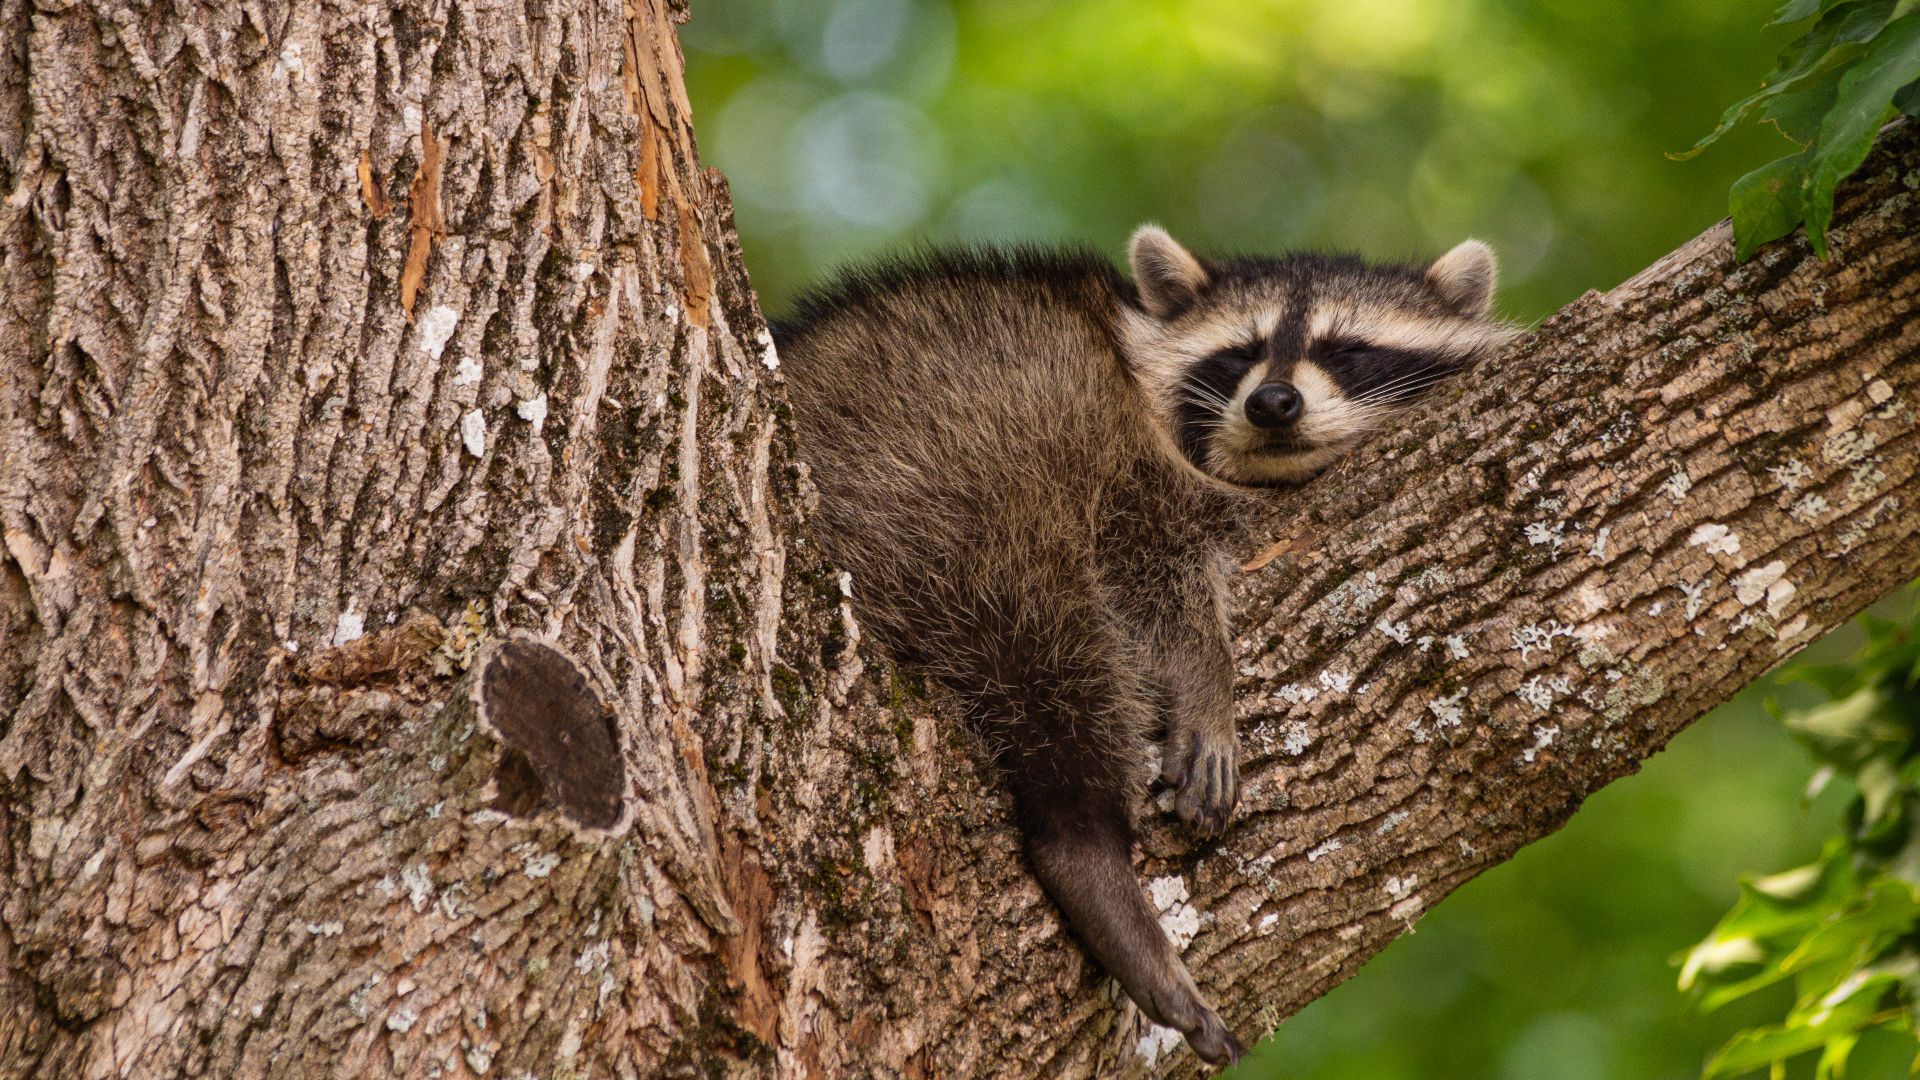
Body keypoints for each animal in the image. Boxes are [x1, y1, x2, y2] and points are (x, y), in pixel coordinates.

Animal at [774, 226, 1513, 1065]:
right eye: (1241, 352)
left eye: (1346, 349)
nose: (1272, 402)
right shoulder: (1119, 450)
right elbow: (1149, 565)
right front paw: (1207, 675)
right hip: (936, 469)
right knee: (1048, 637)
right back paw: (1083, 839)